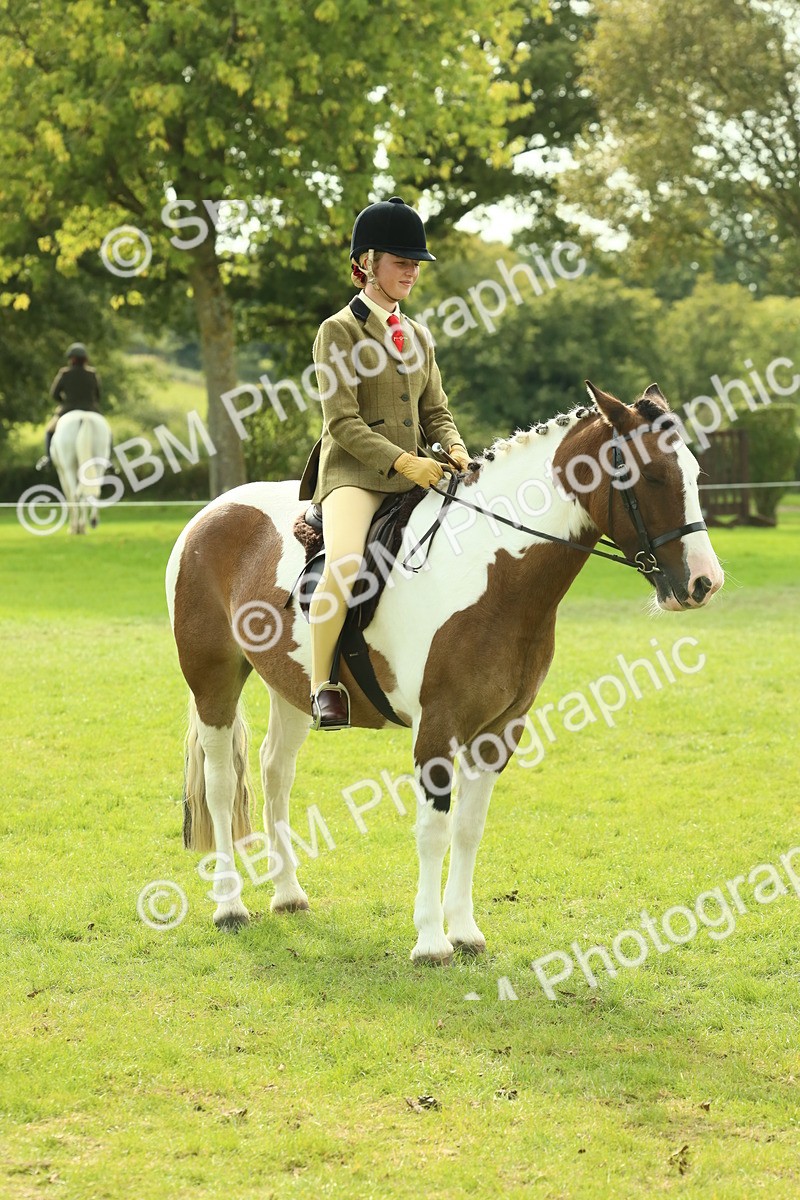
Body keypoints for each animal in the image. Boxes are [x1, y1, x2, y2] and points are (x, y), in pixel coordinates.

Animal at [165, 381, 723, 962]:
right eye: (652, 475)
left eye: (694, 473)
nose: (704, 583)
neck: (492, 570)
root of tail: (212, 512)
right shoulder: (437, 728)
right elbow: (433, 830)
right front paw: (432, 941)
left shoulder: (500, 730)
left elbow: (469, 829)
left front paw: (465, 931)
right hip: (212, 680)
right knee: (221, 783)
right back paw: (230, 907)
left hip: (291, 687)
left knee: (276, 771)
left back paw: (288, 894)